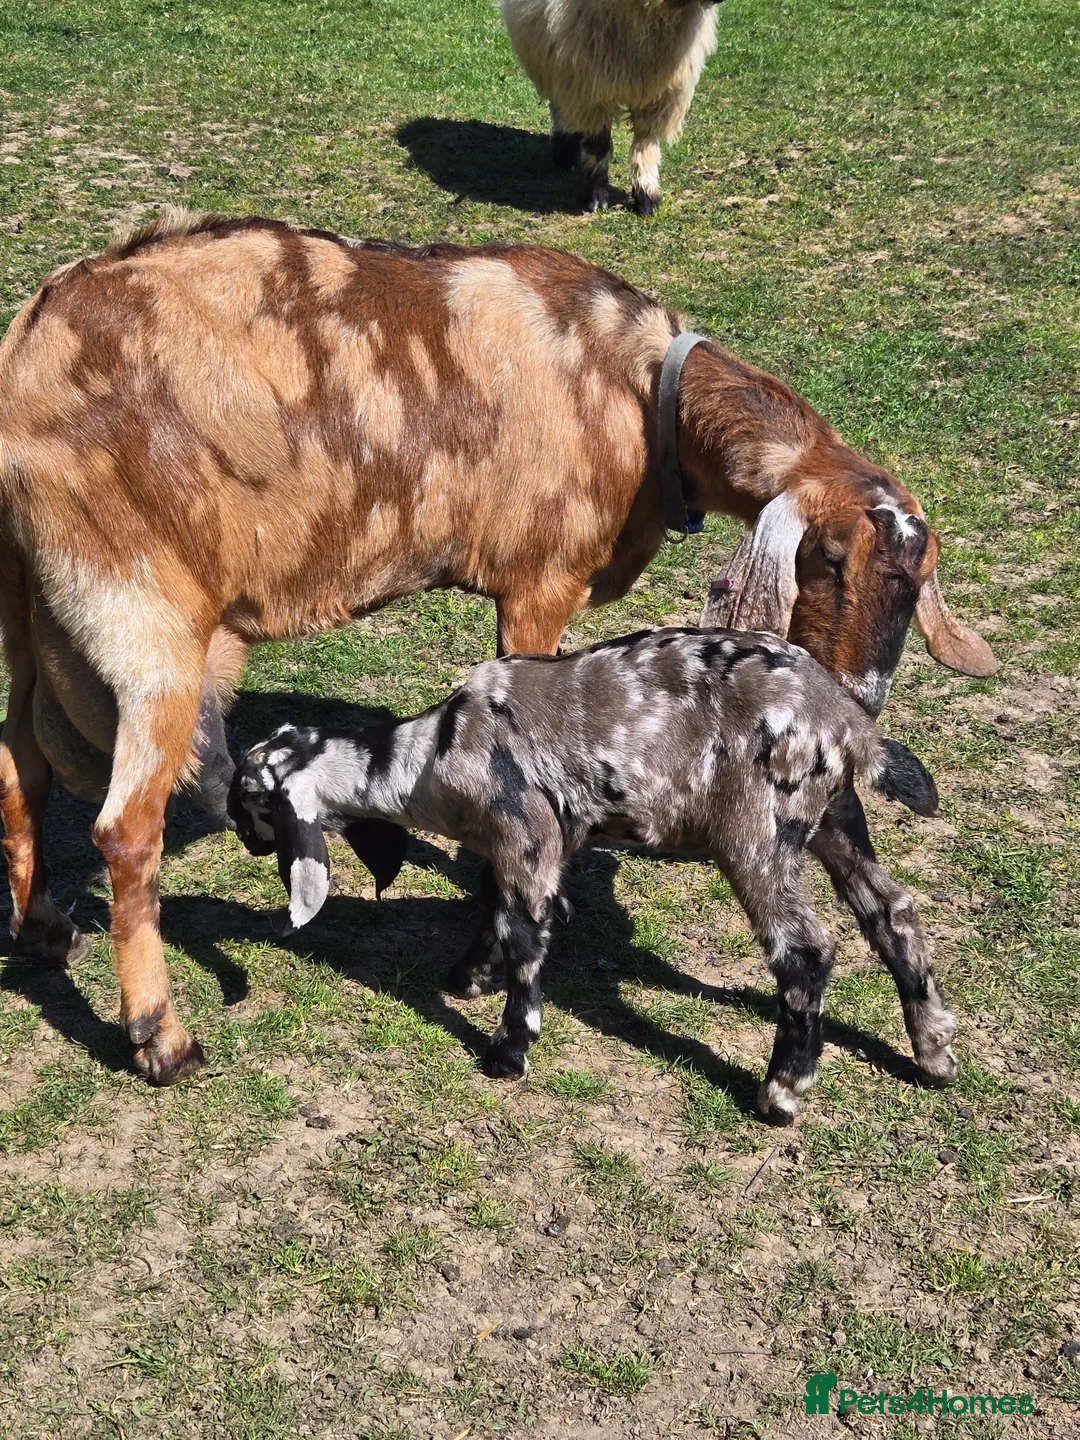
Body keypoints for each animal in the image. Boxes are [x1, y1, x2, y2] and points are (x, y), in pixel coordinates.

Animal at [228, 626, 955, 1123]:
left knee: (804, 951)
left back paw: (781, 1092)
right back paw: (934, 1052)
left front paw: (508, 1051)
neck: (428, 756)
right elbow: (494, 905)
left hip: (759, 831)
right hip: (836, 818)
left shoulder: (525, 833)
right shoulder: (529, 845)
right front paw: (469, 977)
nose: (240, 836)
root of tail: (845, 721)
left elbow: (525, 936)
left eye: (249, 799)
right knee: (891, 912)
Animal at [501, 0, 719, 214]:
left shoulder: (662, 94)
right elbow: (599, 145)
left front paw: (647, 197)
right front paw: (597, 197)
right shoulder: (591, 90)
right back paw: (566, 153)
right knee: (560, 108)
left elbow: (647, 144)